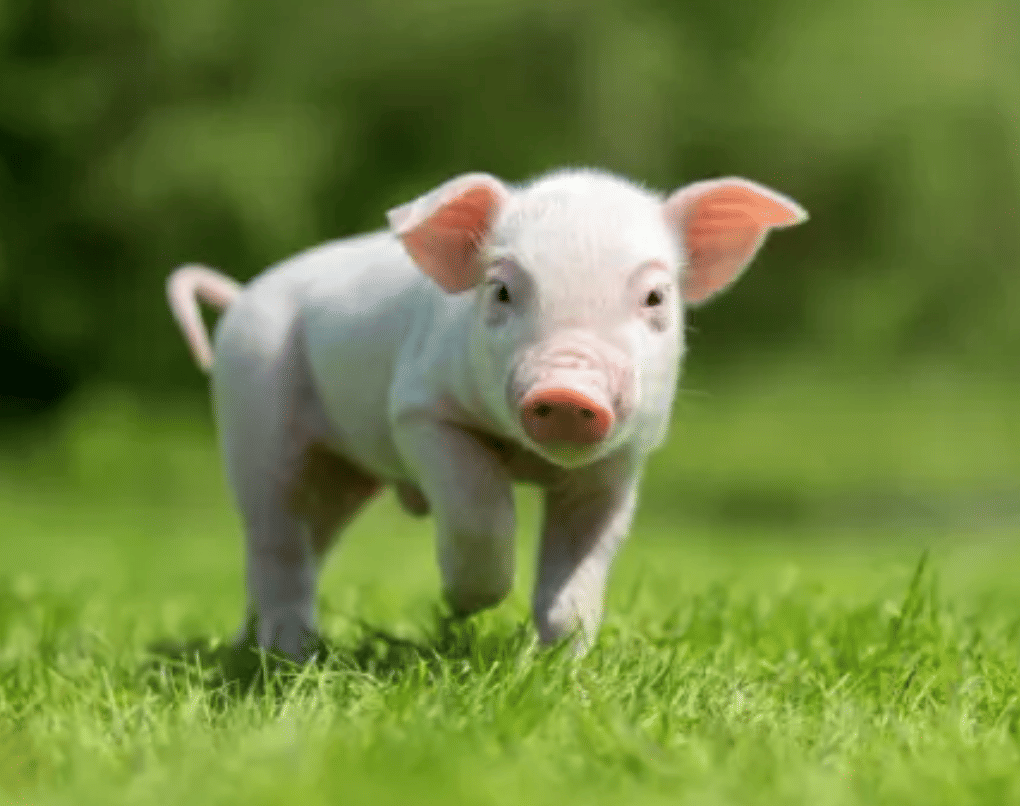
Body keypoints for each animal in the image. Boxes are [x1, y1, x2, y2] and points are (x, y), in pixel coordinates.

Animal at [166, 168, 807, 661]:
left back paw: (251, 645)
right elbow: (480, 507)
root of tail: (242, 295)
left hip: (342, 476)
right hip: (254, 417)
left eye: (656, 298)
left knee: (308, 539)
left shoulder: (620, 461)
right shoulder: (420, 411)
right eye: (501, 291)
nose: (569, 390)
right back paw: (287, 655)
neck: (528, 459)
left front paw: (563, 665)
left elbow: (581, 567)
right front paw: (460, 608)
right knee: (274, 538)